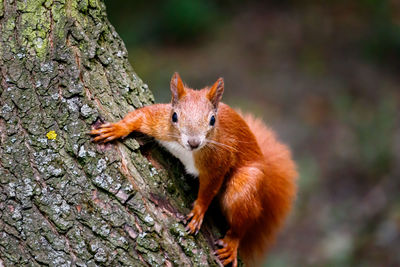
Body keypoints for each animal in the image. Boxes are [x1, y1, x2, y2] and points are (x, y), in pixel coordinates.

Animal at [90, 73, 296, 267]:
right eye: (174, 116)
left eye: (212, 120)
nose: (194, 142)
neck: (187, 151)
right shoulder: (160, 123)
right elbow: (140, 115)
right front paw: (117, 128)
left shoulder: (218, 160)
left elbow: (209, 190)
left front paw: (198, 212)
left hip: (246, 184)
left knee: (241, 219)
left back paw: (232, 243)